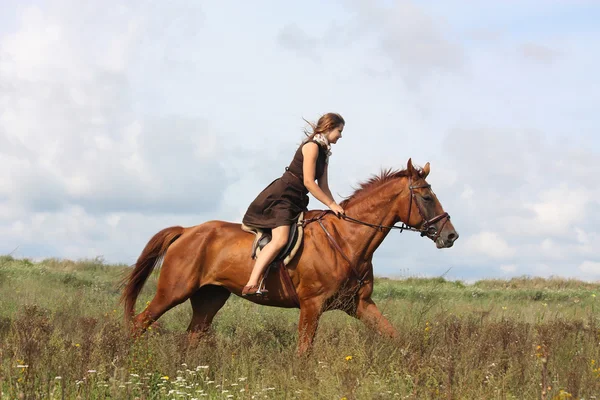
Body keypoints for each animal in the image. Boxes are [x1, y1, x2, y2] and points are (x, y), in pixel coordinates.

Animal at [120, 158, 460, 354]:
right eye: (426, 197)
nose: (451, 236)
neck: (348, 240)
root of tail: (187, 231)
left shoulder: (360, 305)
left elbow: (395, 337)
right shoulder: (312, 305)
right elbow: (303, 352)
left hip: (210, 297)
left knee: (191, 337)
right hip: (173, 291)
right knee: (139, 324)